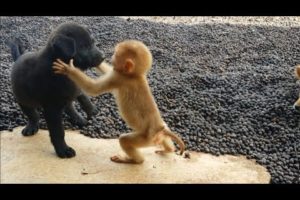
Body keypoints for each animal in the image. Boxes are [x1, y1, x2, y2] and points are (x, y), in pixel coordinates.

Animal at [6, 22, 104, 159]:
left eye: (93, 42)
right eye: (84, 46)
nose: (103, 57)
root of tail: (19, 57)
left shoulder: (74, 87)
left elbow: (82, 95)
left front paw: (92, 110)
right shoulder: (52, 109)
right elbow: (58, 132)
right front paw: (63, 150)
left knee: (69, 105)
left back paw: (78, 117)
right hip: (23, 100)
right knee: (33, 116)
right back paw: (31, 127)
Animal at [53, 39, 185, 164]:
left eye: (116, 55)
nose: (111, 57)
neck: (134, 75)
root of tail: (159, 129)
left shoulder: (118, 77)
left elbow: (93, 88)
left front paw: (69, 69)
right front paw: (97, 61)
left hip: (147, 138)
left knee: (125, 140)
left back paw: (133, 160)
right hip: (160, 133)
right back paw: (168, 149)